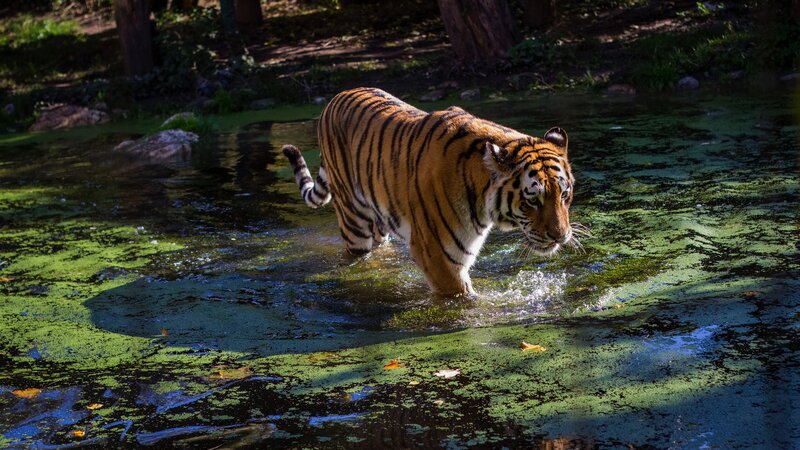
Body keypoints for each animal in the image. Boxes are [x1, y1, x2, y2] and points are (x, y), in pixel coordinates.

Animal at [283, 87, 575, 296]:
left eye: (563, 195)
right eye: (533, 200)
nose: (560, 237)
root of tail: (334, 99)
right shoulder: (438, 256)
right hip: (354, 222)